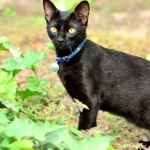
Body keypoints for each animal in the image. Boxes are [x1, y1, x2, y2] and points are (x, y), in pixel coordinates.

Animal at [42, 0, 150, 148]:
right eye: (54, 29)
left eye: (71, 30)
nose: (60, 40)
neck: (68, 57)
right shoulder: (81, 102)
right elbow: (92, 127)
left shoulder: (91, 101)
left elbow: (84, 128)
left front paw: (78, 144)